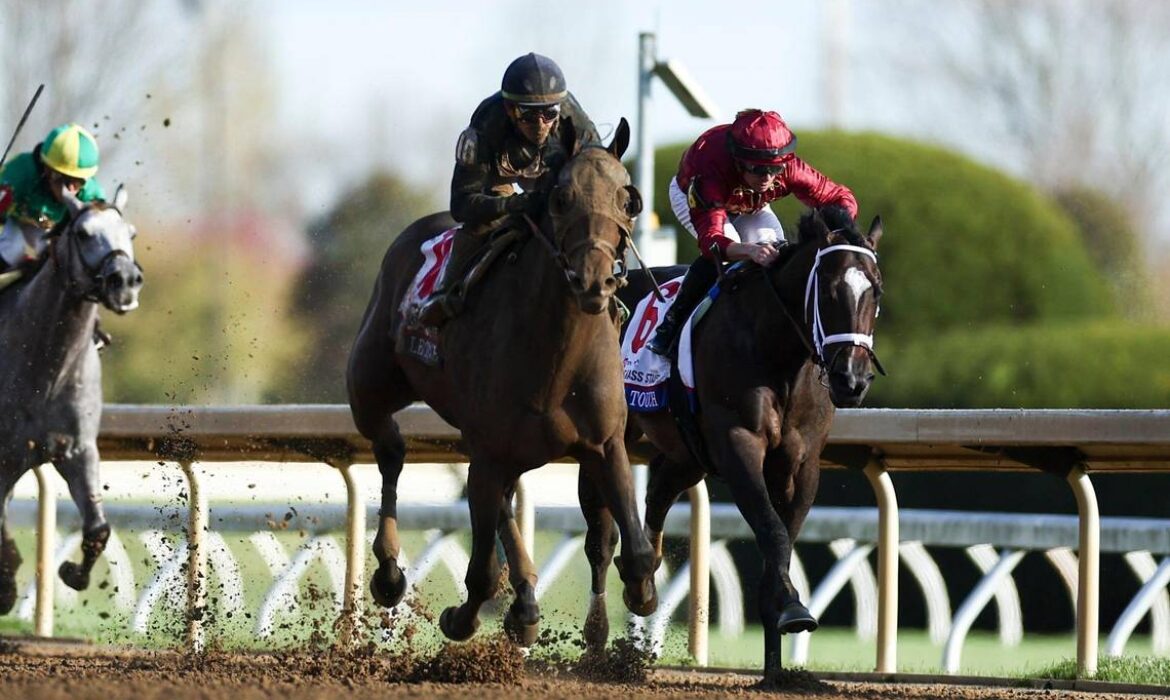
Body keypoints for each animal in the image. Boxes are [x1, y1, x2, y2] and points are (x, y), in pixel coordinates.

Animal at [0, 186, 143, 613]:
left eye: (130, 233)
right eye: (82, 233)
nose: (125, 281)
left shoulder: (77, 449)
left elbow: (98, 528)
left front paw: (72, 573)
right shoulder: (4, 454)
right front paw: (8, 587)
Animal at [346, 118, 659, 646]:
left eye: (629, 199)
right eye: (561, 198)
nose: (593, 282)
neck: (555, 359)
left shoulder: (604, 443)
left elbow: (634, 549)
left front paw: (636, 598)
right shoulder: (487, 453)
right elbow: (481, 572)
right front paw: (460, 618)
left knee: (506, 504)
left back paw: (527, 600)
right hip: (368, 387)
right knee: (391, 451)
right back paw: (390, 573)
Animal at [589, 204, 879, 678]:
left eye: (875, 291)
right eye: (830, 290)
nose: (851, 380)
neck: (777, 351)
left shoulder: (801, 462)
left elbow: (782, 538)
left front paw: (776, 658)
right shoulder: (738, 446)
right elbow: (773, 531)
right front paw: (794, 608)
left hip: (687, 453)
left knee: (658, 494)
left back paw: (642, 582)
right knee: (599, 536)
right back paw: (596, 641)